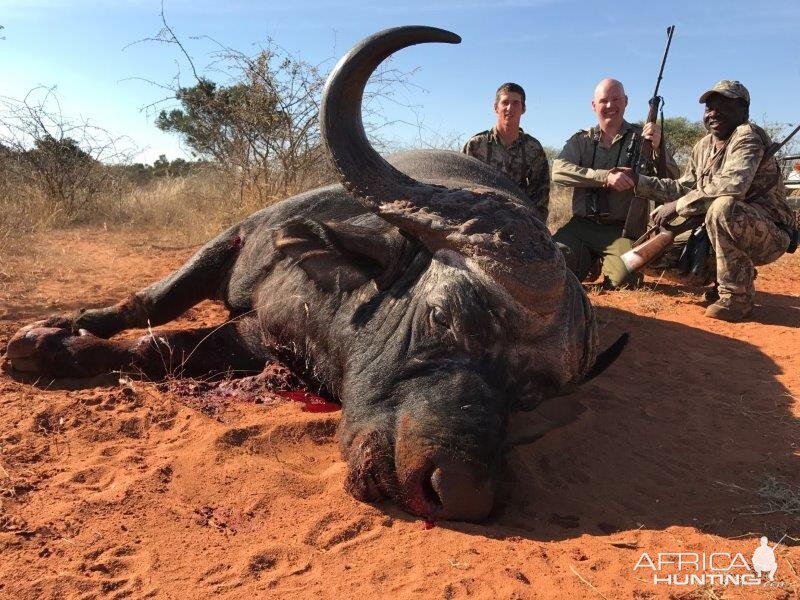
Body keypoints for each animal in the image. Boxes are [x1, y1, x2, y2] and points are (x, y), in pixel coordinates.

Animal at [1, 27, 624, 520]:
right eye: (443, 315)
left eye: (531, 396)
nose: (456, 491)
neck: (331, 310)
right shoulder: (234, 241)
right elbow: (151, 302)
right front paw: (52, 332)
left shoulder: (258, 341)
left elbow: (164, 348)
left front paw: (62, 347)